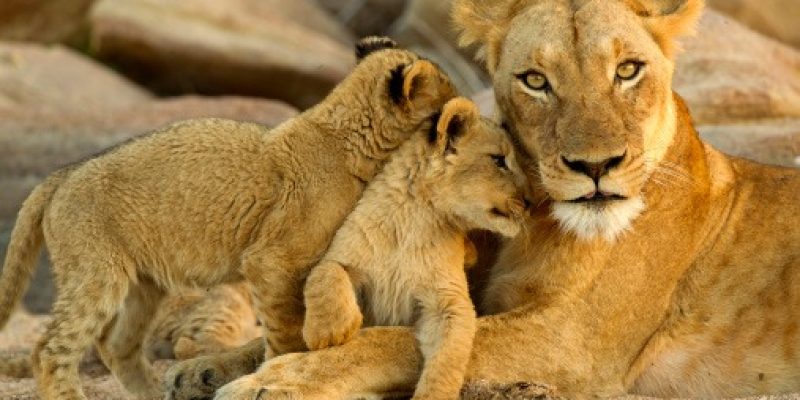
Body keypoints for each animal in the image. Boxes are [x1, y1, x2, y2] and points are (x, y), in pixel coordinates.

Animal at [167, 0, 800, 396]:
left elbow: (390, 340)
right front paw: (204, 368)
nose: (596, 167)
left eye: (627, 70)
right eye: (536, 81)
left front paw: (279, 379)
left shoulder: (570, 342)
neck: (540, 223)